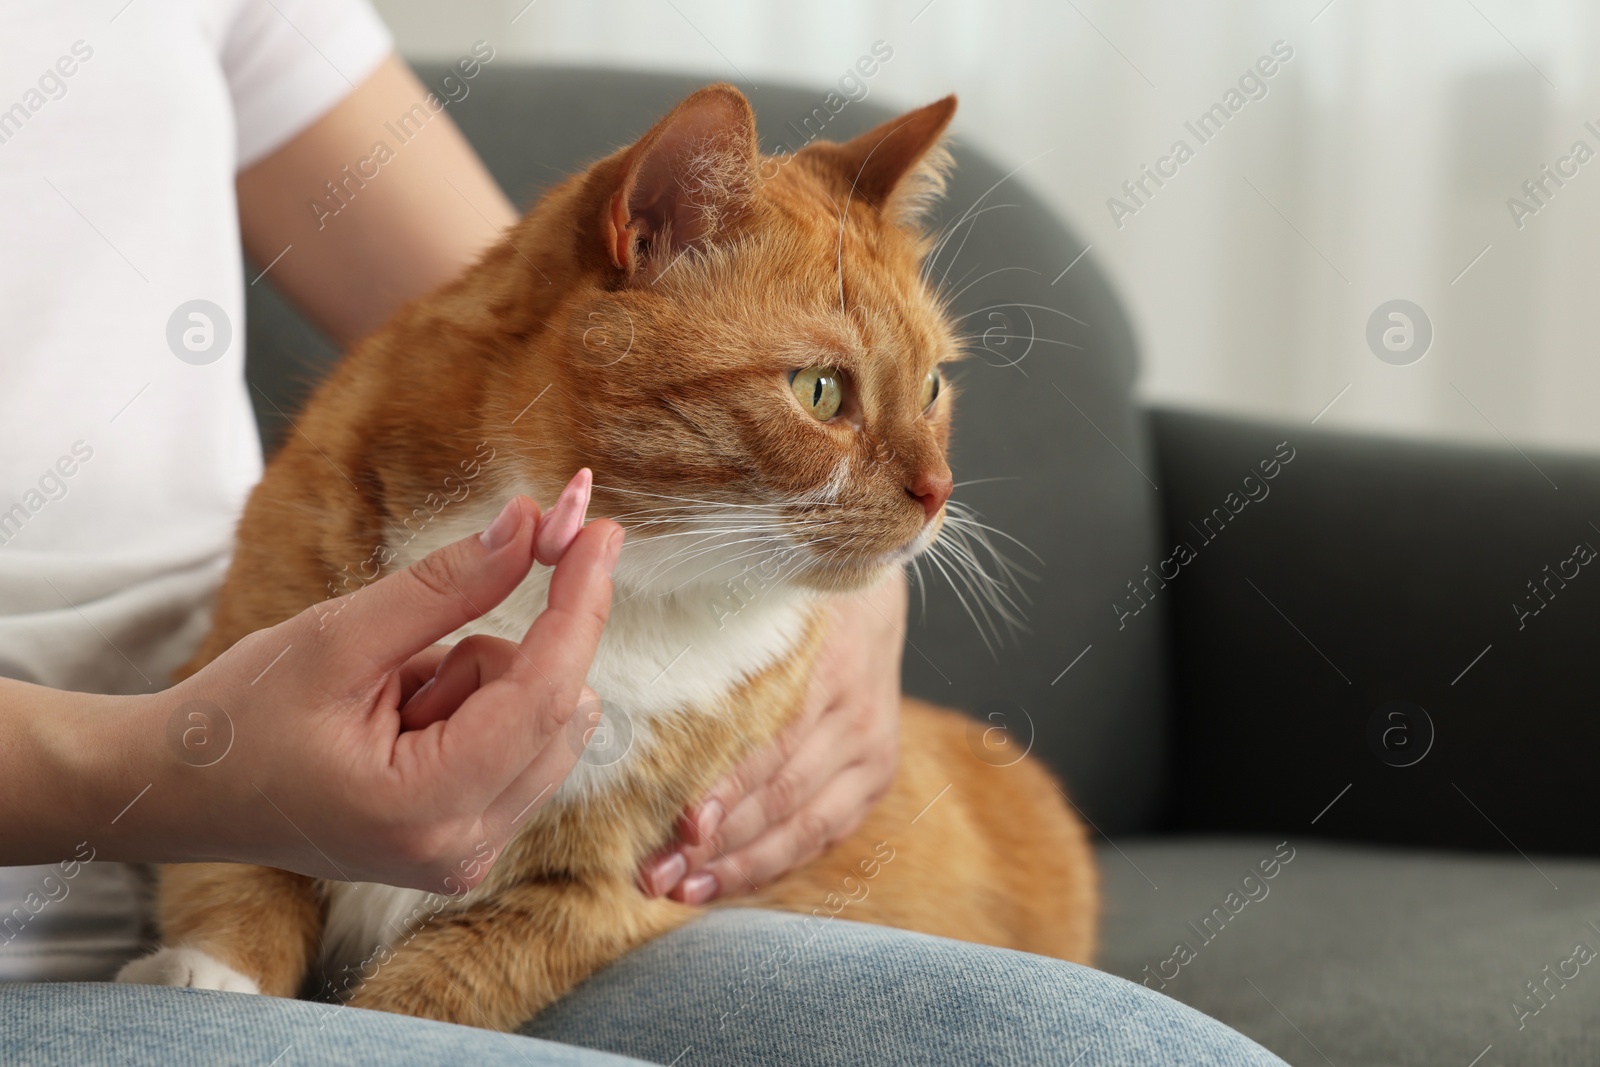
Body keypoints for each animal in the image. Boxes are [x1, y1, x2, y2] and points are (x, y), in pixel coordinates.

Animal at [116, 81, 1100, 1023]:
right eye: (821, 390)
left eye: (932, 386)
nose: (939, 491)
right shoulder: (238, 684)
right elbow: (239, 866)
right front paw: (210, 974)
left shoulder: (601, 890)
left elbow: (427, 996)